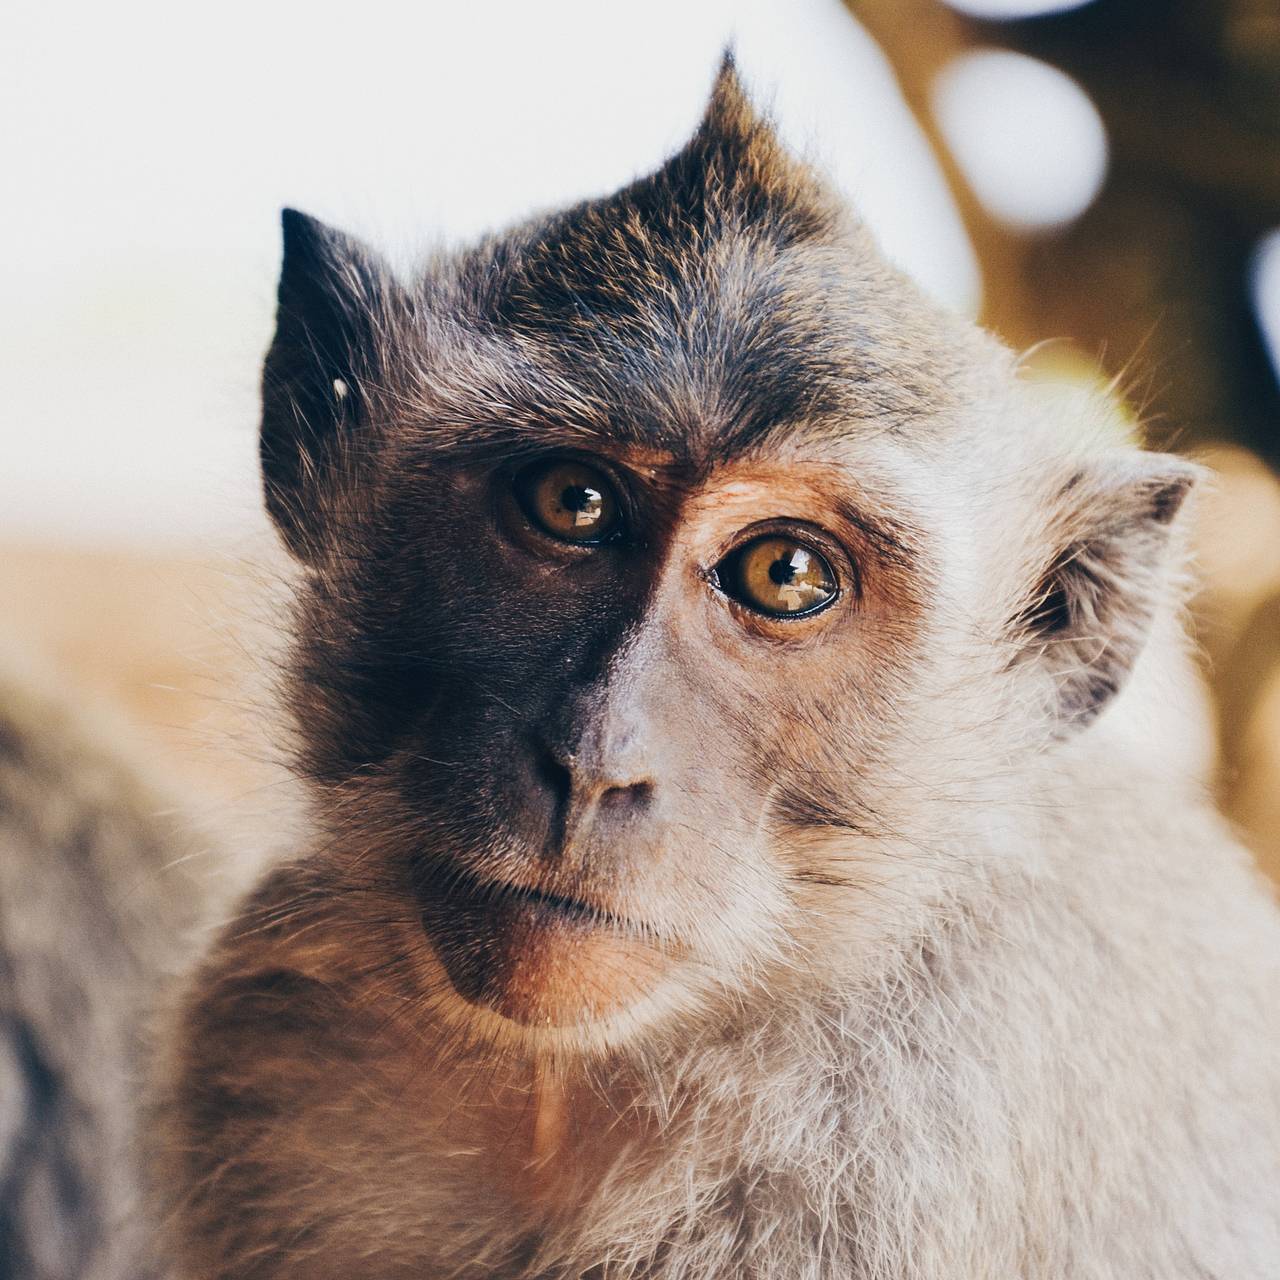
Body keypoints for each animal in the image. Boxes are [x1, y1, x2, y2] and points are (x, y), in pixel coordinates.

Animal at [157, 62, 1280, 1280]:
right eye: (573, 501)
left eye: (784, 573)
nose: (596, 763)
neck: (563, 1090)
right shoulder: (268, 1042)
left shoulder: (895, 1140)